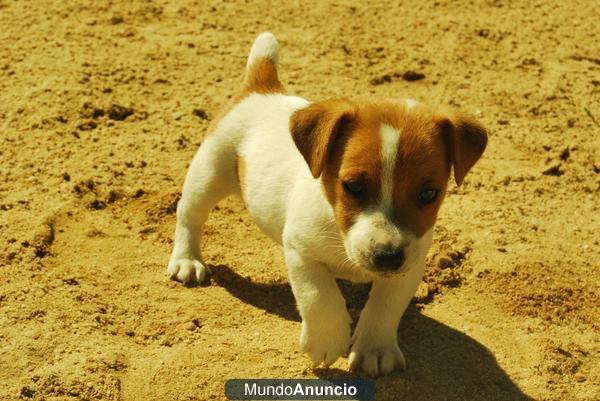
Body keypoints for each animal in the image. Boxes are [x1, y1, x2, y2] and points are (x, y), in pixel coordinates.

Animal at [166, 32, 486, 376]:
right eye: (353, 186)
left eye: (429, 194)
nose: (387, 257)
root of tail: (263, 88)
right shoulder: (301, 253)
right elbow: (320, 297)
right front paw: (327, 341)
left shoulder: (410, 265)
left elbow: (385, 307)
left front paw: (375, 349)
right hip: (208, 174)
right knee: (189, 216)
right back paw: (187, 261)